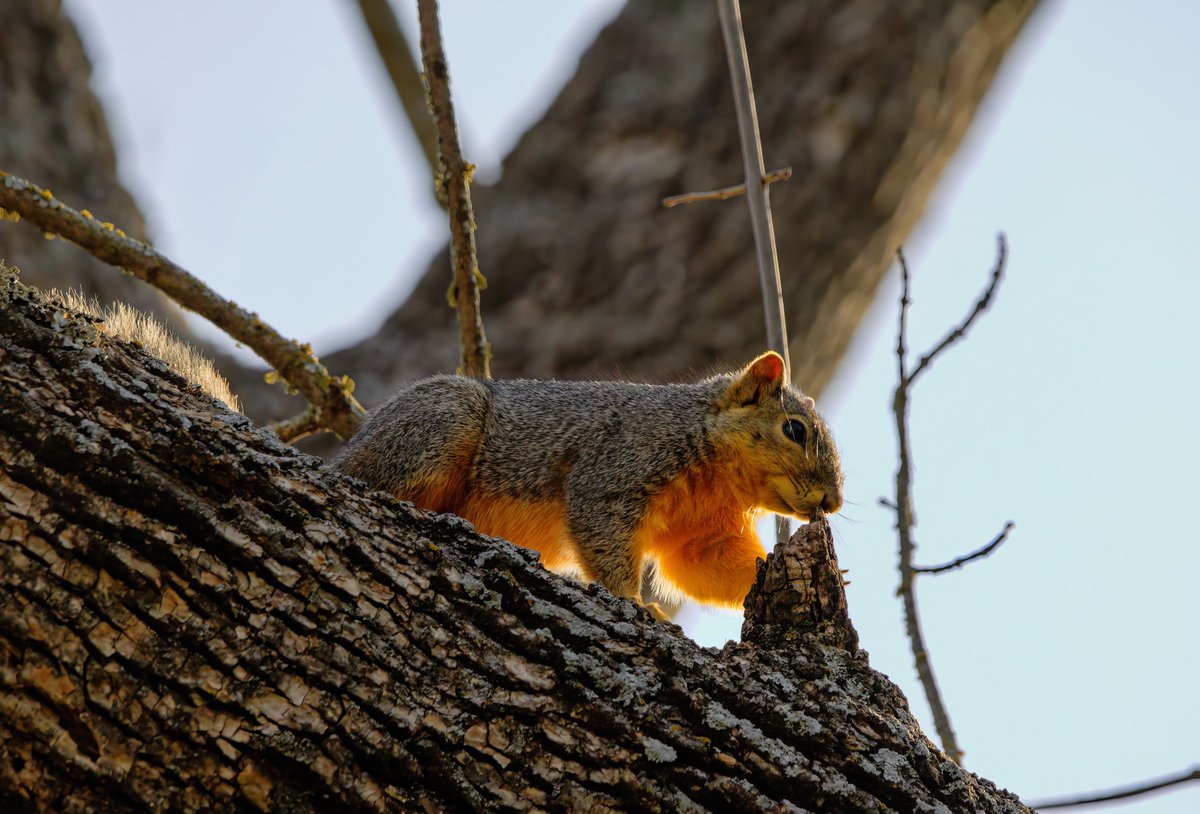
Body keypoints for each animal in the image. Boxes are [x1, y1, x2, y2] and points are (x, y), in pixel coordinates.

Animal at [332, 351, 843, 616]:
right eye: (794, 430)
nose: (833, 502)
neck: (719, 479)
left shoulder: (703, 535)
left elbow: (704, 567)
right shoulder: (617, 467)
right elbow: (600, 527)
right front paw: (637, 604)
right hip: (440, 425)